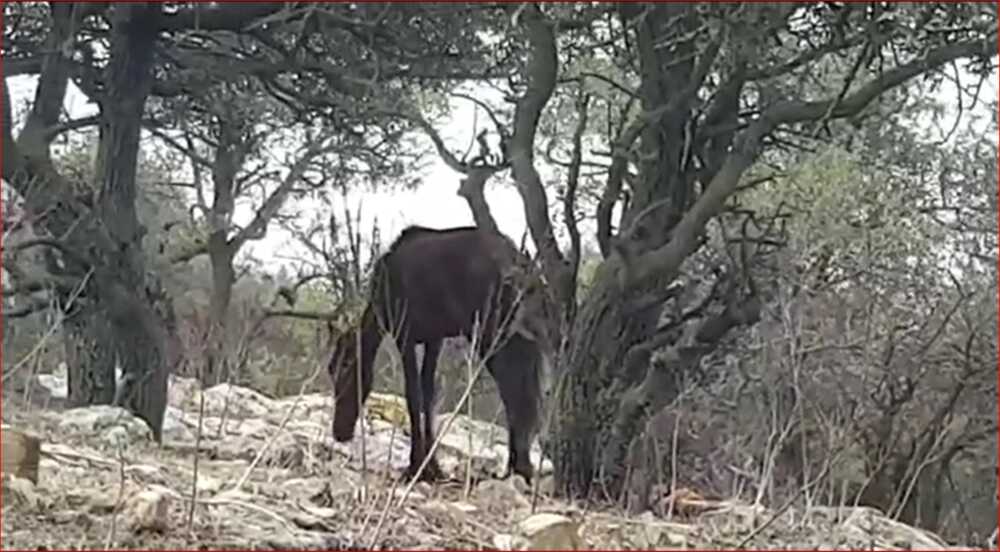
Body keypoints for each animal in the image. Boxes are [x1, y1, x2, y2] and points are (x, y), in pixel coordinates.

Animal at [328, 225, 559, 483]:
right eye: (330, 369)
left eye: (344, 369)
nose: (339, 432)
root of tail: (526, 273)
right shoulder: (433, 338)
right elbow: (428, 394)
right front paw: (432, 466)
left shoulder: (404, 333)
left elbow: (413, 395)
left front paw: (416, 466)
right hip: (518, 337)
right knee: (524, 392)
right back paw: (518, 467)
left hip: (492, 333)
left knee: (514, 391)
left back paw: (517, 468)